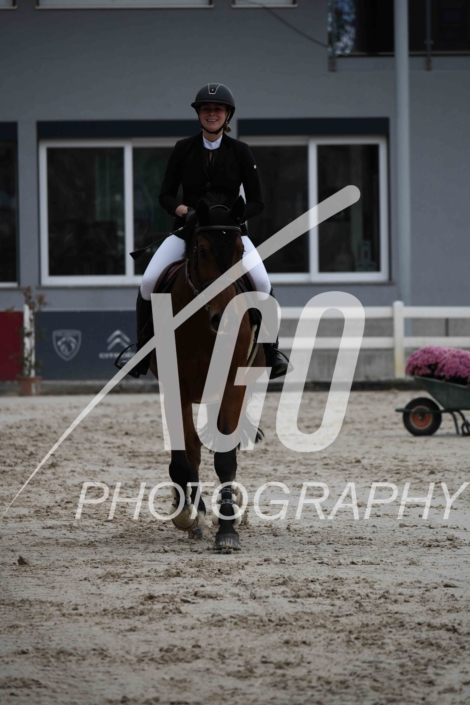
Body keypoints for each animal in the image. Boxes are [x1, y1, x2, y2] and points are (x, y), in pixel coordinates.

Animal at [149, 195, 267, 550]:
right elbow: (184, 455)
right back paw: (194, 510)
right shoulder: (176, 386)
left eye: (240, 251)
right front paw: (186, 514)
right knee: (193, 450)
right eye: (201, 251)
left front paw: (227, 527)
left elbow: (225, 456)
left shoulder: (231, 383)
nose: (224, 317)